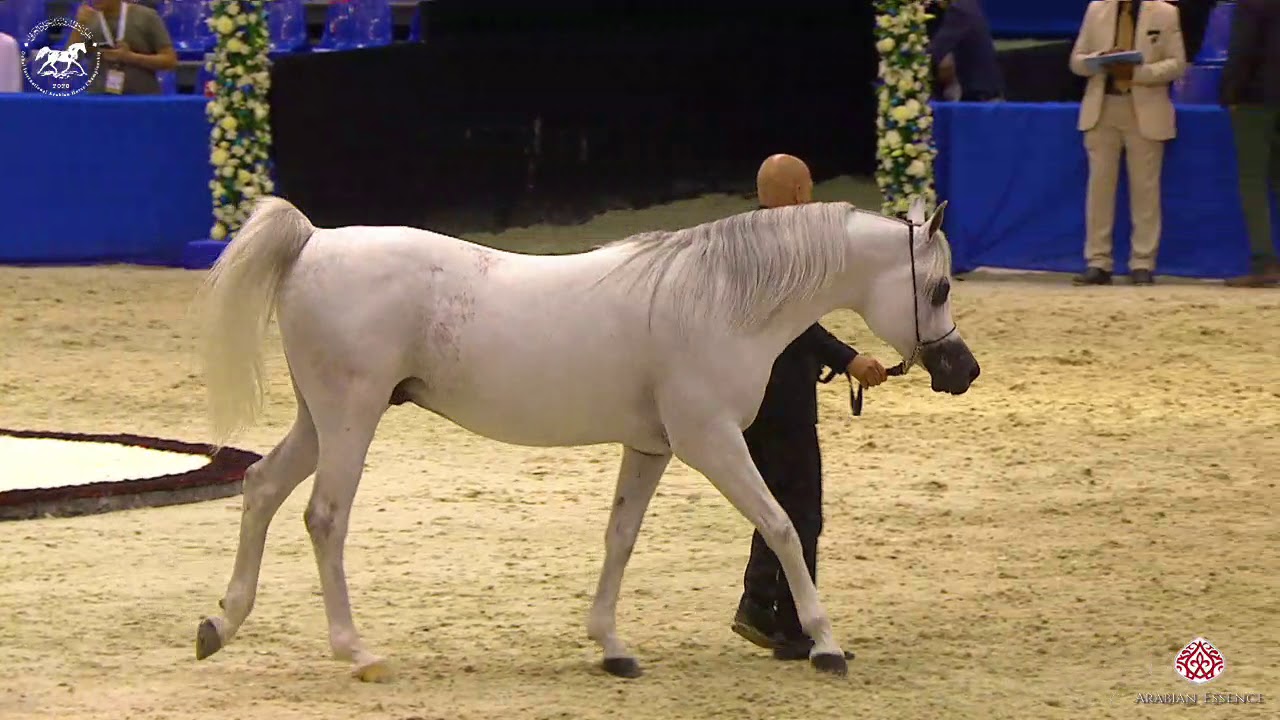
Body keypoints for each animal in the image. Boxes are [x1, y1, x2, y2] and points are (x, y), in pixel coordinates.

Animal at [191, 195, 979, 682]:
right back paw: (356, 652)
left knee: (260, 485)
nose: (964, 370)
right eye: (939, 288)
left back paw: (221, 624)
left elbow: (619, 539)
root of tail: (313, 241)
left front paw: (611, 647)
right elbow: (782, 525)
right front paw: (825, 643)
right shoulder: (712, 442)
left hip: (319, 421)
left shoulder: (652, 448)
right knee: (324, 518)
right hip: (350, 420)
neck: (720, 300)